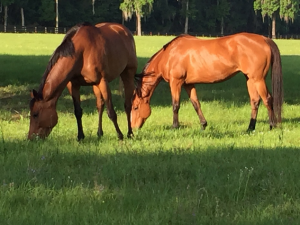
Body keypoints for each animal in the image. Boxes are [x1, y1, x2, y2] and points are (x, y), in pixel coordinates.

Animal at [130, 33, 282, 132]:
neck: (169, 56)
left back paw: (272, 125)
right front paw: (203, 125)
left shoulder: (176, 83)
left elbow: (175, 105)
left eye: (135, 107)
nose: (133, 128)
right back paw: (250, 128)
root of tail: (264, 39)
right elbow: (196, 104)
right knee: (255, 101)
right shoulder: (188, 84)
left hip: (258, 79)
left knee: (267, 99)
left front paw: (175, 126)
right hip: (250, 79)